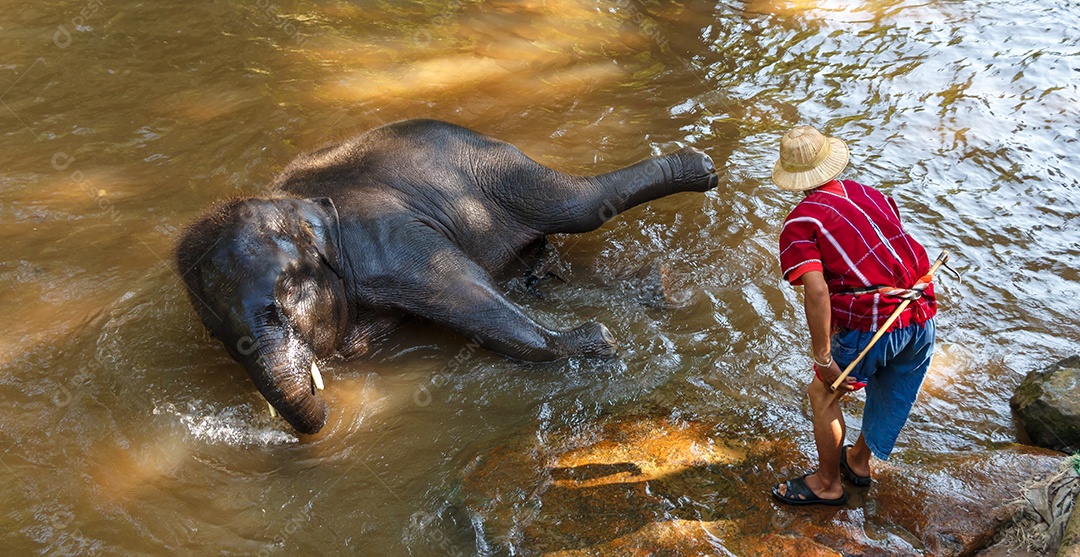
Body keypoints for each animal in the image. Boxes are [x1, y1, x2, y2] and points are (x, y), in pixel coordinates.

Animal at [175, 119, 718, 434]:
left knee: (578, 204)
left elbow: (461, 285)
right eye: (217, 334)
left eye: (287, 294)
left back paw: (701, 168)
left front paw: (595, 343)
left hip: (499, 172)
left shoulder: (382, 235)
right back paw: (651, 285)